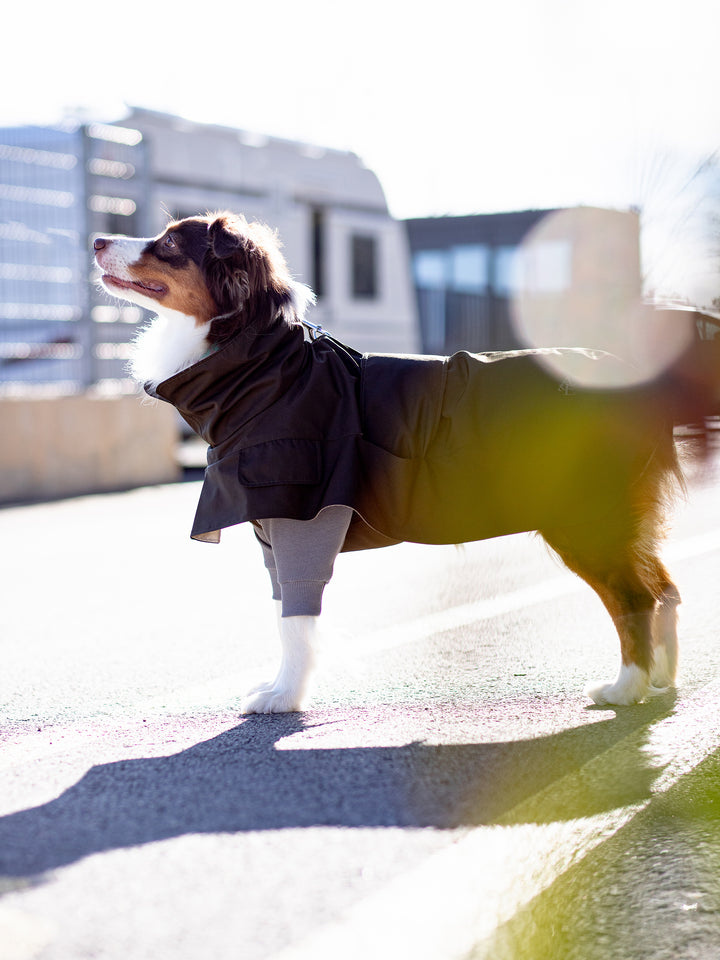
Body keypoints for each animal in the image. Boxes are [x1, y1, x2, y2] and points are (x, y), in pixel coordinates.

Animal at [94, 214, 716, 716]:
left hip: (584, 518)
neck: (262, 365)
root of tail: (635, 377)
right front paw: (280, 689)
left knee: (634, 599)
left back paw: (626, 689)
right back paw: (661, 680)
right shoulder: (272, 529)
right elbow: (284, 617)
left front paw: (284, 699)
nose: (97, 238)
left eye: (169, 245)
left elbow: (296, 620)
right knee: (664, 588)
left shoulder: (300, 519)